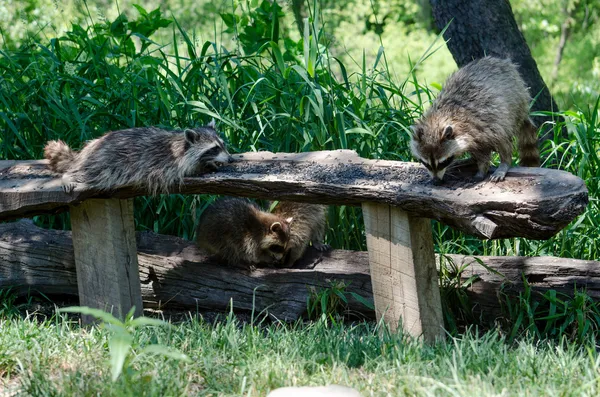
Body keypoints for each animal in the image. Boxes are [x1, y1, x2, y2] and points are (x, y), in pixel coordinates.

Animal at [43, 120, 232, 195]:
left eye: (223, 144)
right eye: (214, 148)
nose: (231, 159)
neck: (181, 144)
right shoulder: (169, 163)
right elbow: (189, 170)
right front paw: (207, 166)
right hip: (104, 161)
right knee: (91, 173)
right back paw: (69, 175)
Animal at [410, 55, 540, 184]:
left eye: (443, 162)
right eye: (425, 163)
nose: (436, 181)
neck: (441, 117)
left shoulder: (483, 122)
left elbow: (488, 148)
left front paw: (483, 169)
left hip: (514, 106)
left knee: (503, 138)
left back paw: (504, 163)